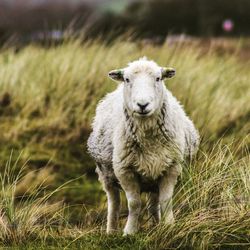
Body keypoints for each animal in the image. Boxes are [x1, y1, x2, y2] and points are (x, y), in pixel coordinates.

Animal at [88, 57, 199, 235]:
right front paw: (129, 232)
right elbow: (134, 204)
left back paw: (155, 225)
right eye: (127, 79)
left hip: (154, 176)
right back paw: (111, 231)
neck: (148, 138)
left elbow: (166, 201)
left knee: (154, 204)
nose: (142, 104)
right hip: (106, 174)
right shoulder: (124, 170)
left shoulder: (171, 168)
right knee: (114, 202)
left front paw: (169, 227)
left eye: (158, 78)